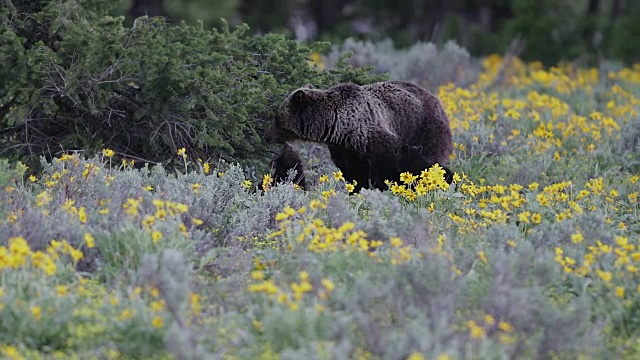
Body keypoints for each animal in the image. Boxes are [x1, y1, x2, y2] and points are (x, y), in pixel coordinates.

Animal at [264, 80, 450, 193]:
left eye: (277, 118)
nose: (267, 136)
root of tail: (438, 101)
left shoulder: (374, 137)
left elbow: (385, 168)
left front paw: (385, 186)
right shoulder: (344, 148)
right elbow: (353, 172)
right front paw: (357, 189)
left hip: (425, 129)